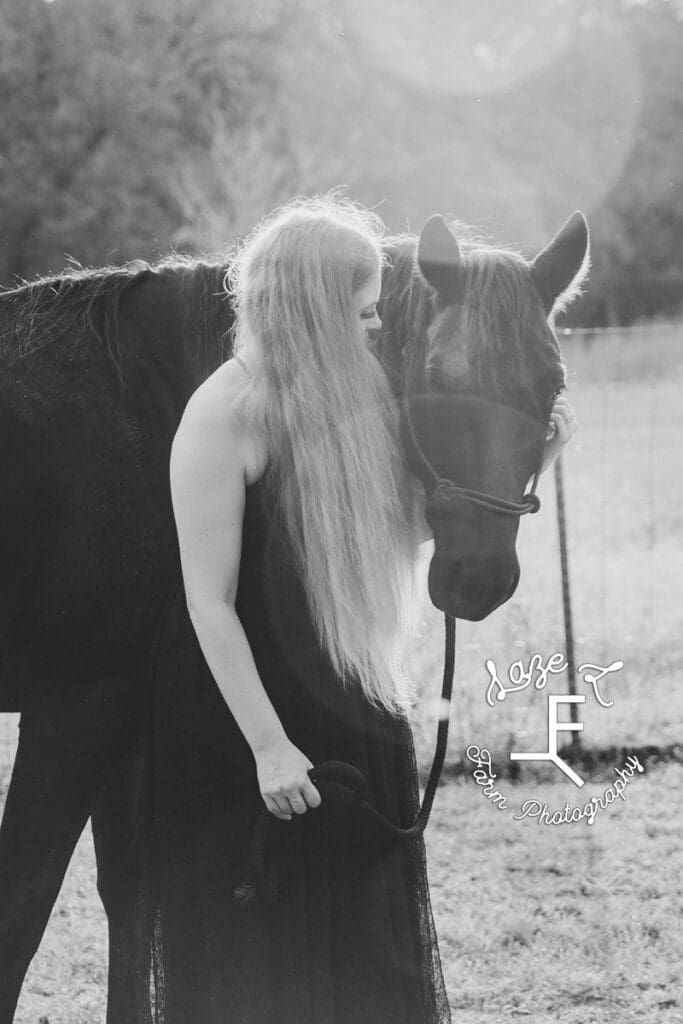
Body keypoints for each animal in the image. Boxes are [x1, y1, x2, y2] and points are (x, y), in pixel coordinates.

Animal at [0, 211, 589, 1019]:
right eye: (440, 376)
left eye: (552, 384)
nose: (478, 579)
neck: (155, 413)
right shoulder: (76, 707)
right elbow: (24, 908)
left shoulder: (125, 712)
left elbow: (126, 898)